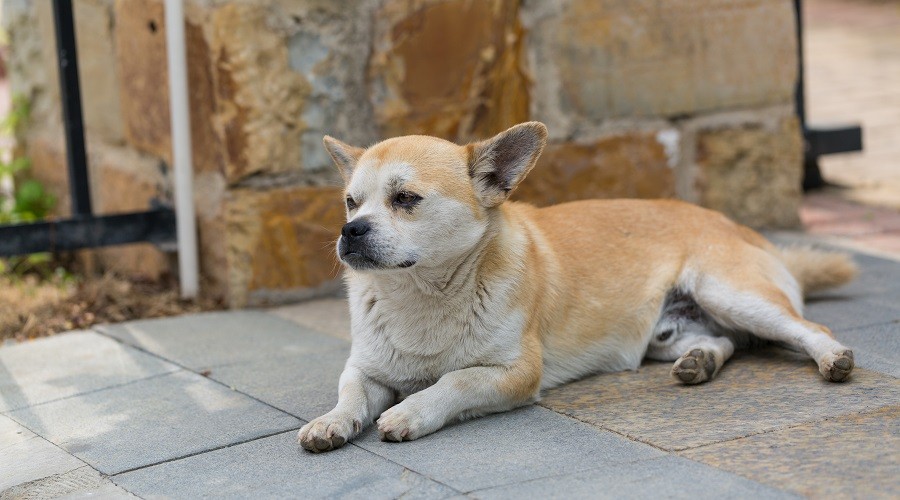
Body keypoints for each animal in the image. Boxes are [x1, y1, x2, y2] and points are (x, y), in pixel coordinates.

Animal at [298, 121, 856, 454]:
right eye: (351, 202)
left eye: (406, 199)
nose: (351, 231)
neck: (420, 295)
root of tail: (740, 227)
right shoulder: (365, 369)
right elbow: (350, 394)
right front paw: (332, 421)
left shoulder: (516, 373)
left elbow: (455, 381)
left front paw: (410, 411)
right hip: (667, 333)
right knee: (723, 340)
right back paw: (700, 362)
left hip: (731, 294)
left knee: (808, 328)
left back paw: (832, 357)